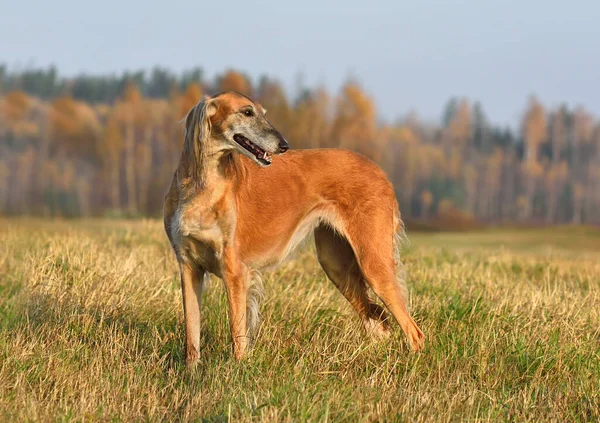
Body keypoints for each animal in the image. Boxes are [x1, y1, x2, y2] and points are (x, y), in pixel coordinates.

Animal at [164, 91, 424, 366]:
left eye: (262, 113)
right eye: (247, 112)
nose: (284, 145)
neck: (202, 186)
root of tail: (379, 171)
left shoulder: (234, 270)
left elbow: (237, 333)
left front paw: (238, 368)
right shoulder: (188, 267)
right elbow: (192, 335)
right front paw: (191, 372)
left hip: (373, 262)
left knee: (413, 331)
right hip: (337, 265)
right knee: (379, 321)